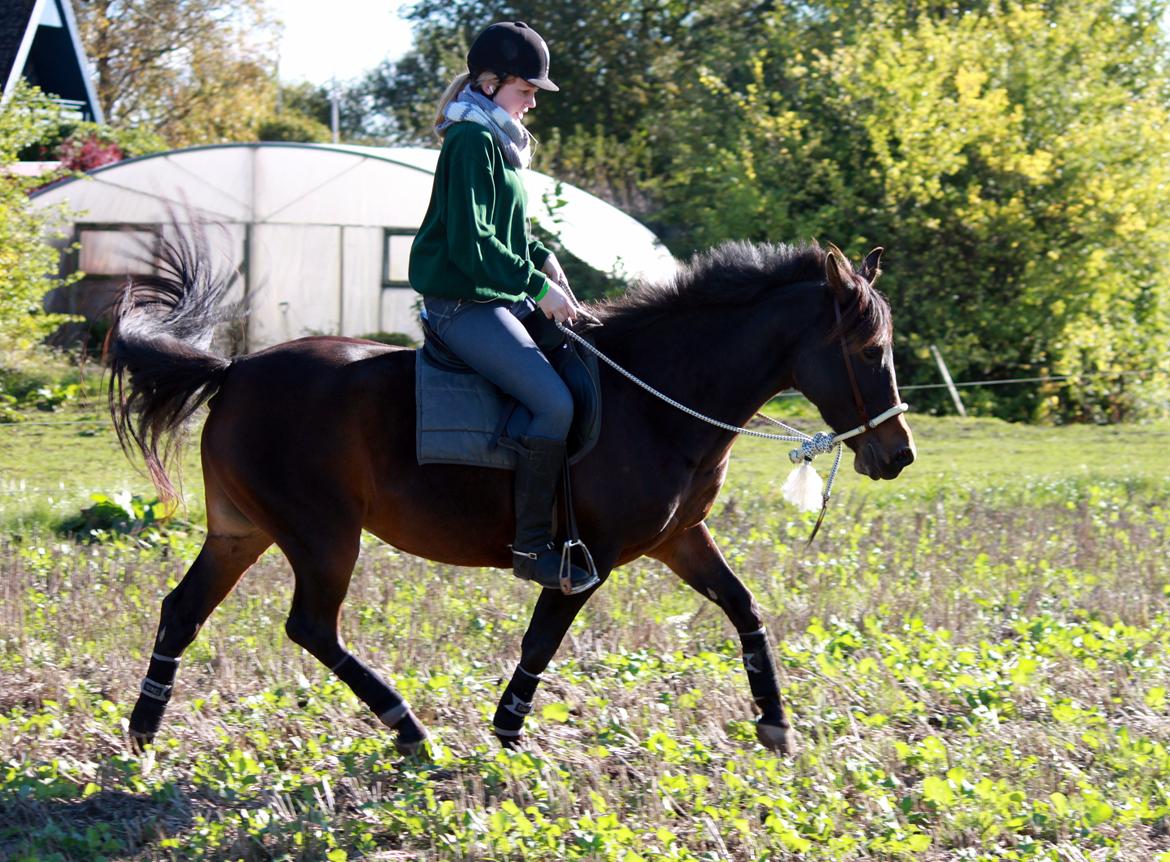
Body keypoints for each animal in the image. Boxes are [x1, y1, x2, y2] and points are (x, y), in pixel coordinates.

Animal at [107, 225, 912, 757]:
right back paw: (407, 726)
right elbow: (543, 638)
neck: (652, 397)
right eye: (870, 349)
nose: (898, 454)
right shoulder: (591, 557)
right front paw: (508, 728)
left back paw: (144, 731)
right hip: (321, 537)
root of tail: (235, 371)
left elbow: (745, 608)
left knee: (182, 611)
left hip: (242, 532)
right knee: (311, 626)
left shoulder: (679, 539)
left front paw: (775, 722)